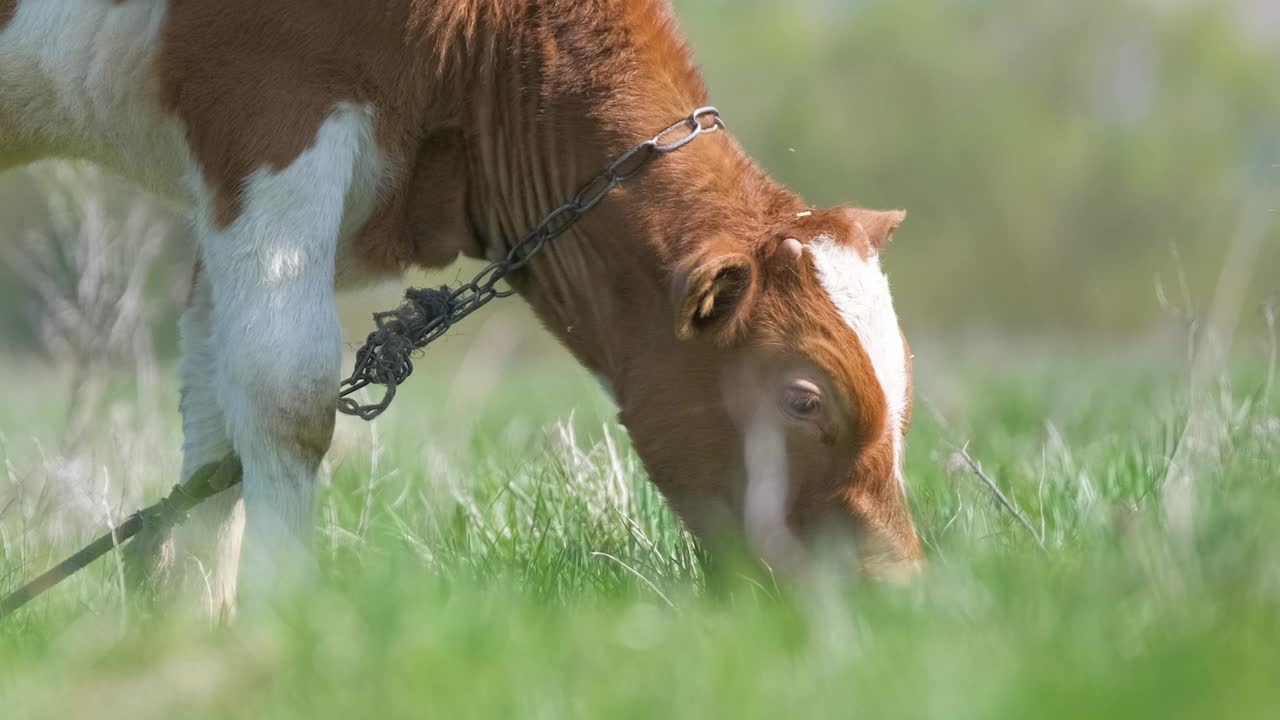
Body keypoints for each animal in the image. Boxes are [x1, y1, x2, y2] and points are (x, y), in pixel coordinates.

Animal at [0, 1, 921, 617]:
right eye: (805, 398)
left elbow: (212, 433)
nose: (900, 591)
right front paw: (283, 621)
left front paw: (193, 631)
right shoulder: (270, 113)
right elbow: (285, 395)